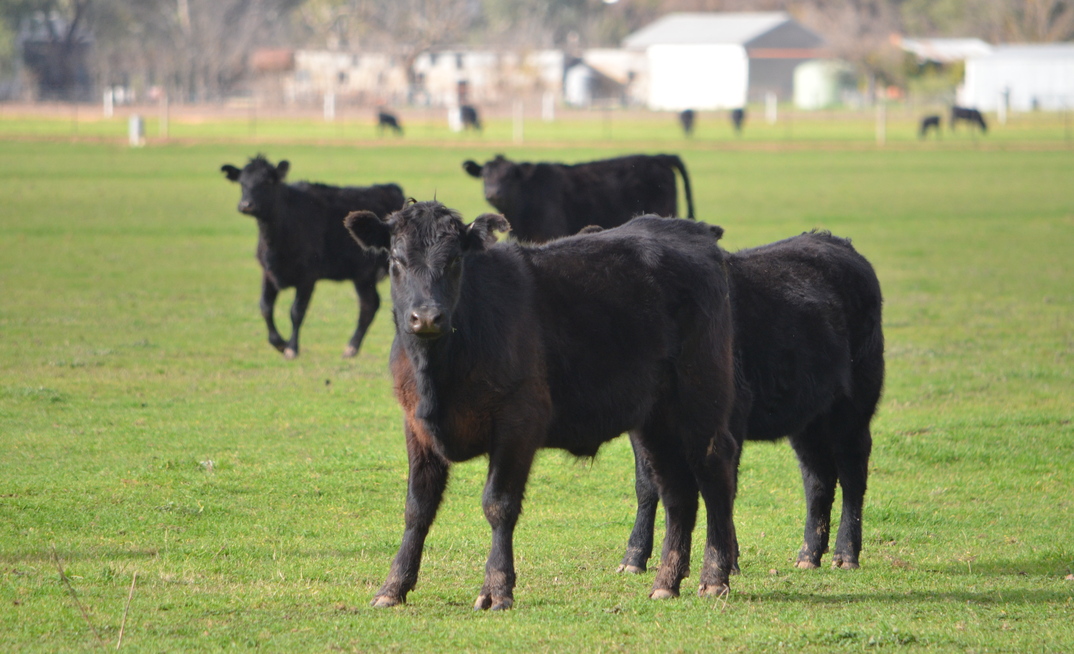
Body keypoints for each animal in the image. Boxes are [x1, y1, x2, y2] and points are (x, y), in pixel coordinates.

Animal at [220, 155, 405, 359]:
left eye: (267, 181)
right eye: (242, 183)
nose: (246, 205)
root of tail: (390, 188)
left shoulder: (307, 277)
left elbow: (296, 311)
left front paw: (291, 348)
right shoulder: (268, 272)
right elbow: (265, 307)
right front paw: (279, 343)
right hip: (362, 275)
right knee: (369, 305)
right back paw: (351, 348)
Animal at [344, 202, 740, 609]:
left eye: (454, 260)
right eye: (396, 259)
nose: (426, 317)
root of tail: (689, 229)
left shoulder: (518, 423)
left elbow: (499, 504)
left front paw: (496, 588)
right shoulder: (416, 427)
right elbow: (417, 508)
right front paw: (393, 586)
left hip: (701, 395)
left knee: (714, 472)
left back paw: (714, 576)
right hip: (655, 420)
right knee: (676, 490)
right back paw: (667, 580)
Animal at [617, 230, 884, 574]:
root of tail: (835, 241)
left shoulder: (730, 418)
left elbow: (722, 486)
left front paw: (725, 563)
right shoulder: (644, 430)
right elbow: (647, 485)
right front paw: (634, 557)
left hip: (854, 407)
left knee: (852, 473)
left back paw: (845, 554)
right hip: (808, 418)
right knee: (818, 479)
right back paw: (808, 554)